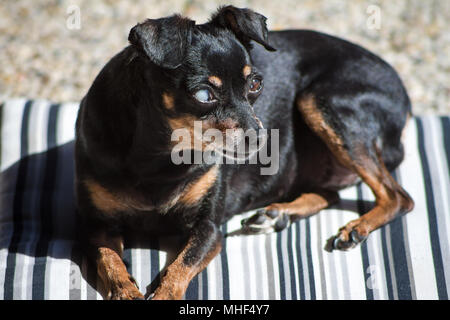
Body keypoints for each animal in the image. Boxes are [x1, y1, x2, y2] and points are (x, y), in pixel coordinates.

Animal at [74, 5, 414, 300]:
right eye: (203, 94)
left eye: (256, 84)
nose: (262, 138)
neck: (160, 157)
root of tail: (405, 96)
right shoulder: (97, 227)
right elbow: (110, 262)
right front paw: (126, 291)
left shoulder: (209, 229)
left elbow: (178, 269)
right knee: (332, 193)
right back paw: (278, 214)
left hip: (322, 102)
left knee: (398, 197)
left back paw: (355, 227)